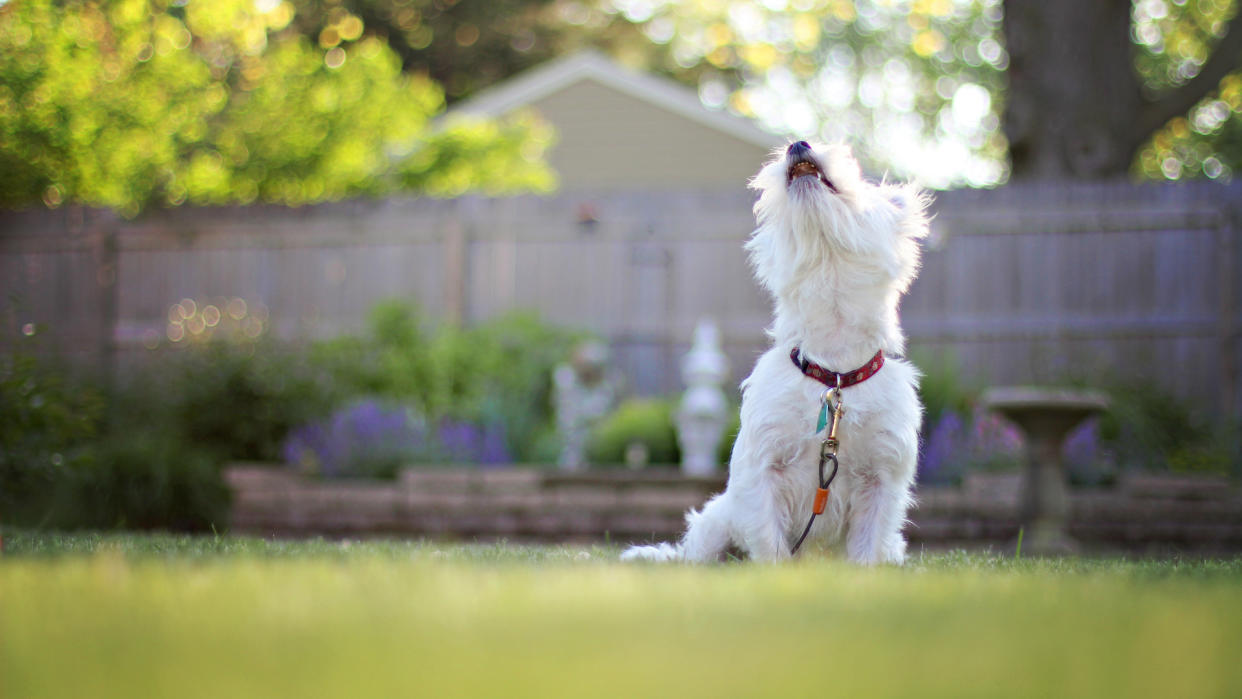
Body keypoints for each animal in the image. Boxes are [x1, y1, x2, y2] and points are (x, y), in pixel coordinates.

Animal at [625, 142, 929, 563]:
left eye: (857, 174)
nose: (798, 143)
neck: (833, 371)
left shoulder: (881, 477)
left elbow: (867, 549)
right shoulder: (763, 470)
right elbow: (770, 542)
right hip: (716, 521)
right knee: (695, 555)